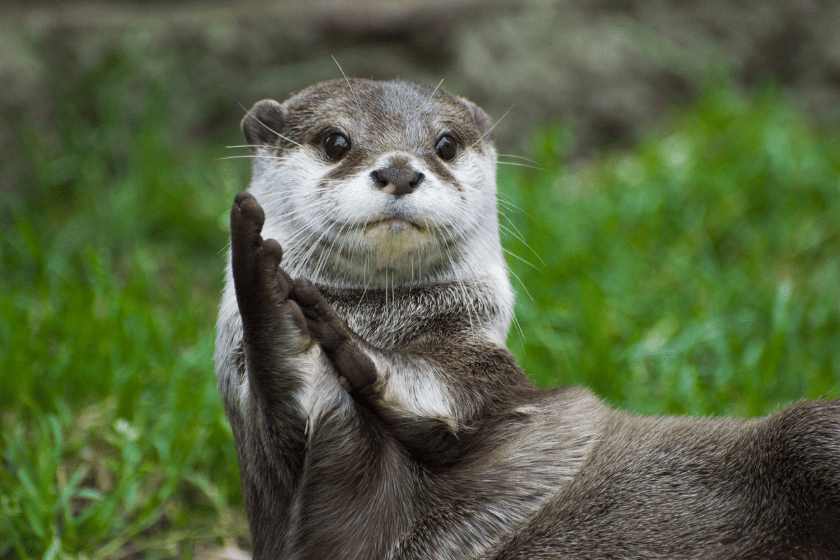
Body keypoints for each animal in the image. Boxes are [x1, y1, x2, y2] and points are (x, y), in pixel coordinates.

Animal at [214, 79, 840, 559]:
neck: (387, 320)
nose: (399, 171)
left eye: (444, 144)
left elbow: (449, 395)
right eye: (335, 140)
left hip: (810, 432)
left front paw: (340, 339)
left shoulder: (488, 376)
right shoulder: (294, 484)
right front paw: (275, 301)